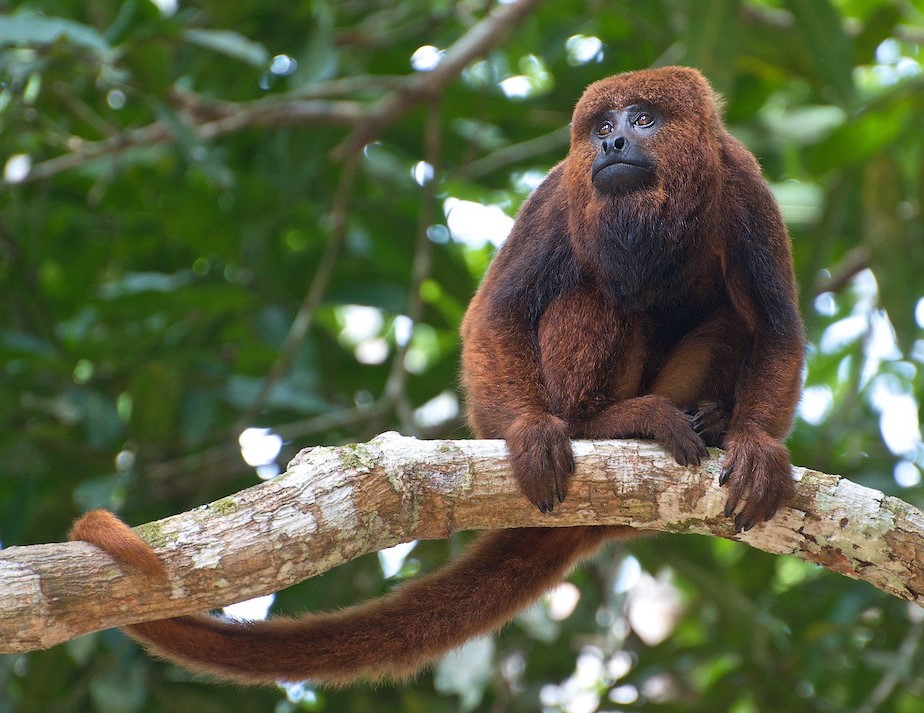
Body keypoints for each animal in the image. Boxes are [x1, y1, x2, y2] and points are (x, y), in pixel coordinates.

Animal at [69, 66, 804, 686]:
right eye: (601, 127)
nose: (615, 141)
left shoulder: (746, 186)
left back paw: (706, 419)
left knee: (730, 318)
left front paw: (755, 445)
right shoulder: (558, 191)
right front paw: (532, 432)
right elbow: (496, 313)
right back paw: (606, 422)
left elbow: (775, 326)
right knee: (594, 294)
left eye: (644, 119)